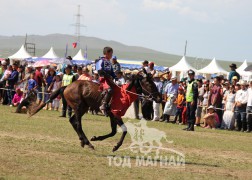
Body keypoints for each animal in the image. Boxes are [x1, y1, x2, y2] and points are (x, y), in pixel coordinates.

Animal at [30, 70, 162, 152]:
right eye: (150, 84)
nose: (159, 98)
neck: (125, 94)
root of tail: (66, 86)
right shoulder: (115, 114)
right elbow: (124, 130)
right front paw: (116, 146)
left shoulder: (112, 116)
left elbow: (113, 132)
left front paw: (96, 138)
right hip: (79, 107)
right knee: (78, 124)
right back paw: (88, 143)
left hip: (83, 108)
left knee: (72, 121)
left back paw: (83, 141)